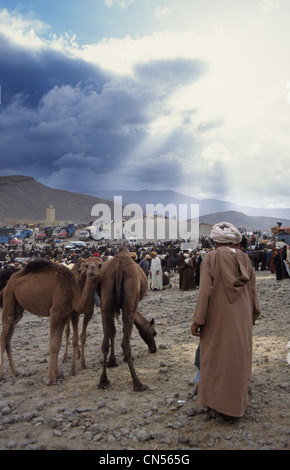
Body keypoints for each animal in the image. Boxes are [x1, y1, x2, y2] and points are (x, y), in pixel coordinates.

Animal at [0, 258, 102, 386]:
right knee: (4, 333)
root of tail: (9, 282)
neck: (72, 293)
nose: (92, 272)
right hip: (9, 296)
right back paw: (3, 376)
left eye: (100, 264)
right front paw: (50, 379)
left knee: (9, 336)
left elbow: (58, 343)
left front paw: (58, 374)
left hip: (18, 307)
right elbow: (53, 345)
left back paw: (15, 372)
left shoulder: (64, 314)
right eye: (87, 265)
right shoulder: (55, 313)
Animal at [97, 248, 152, 392]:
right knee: (126, 343)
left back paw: (103, 381)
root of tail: (119, 266)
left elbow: (112, 332)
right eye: (153, 333)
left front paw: (112, 361)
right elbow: (122, 331)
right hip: (129, 304)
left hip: (106, 302)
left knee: (105, 343)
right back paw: (138, 383)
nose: (153, 348)